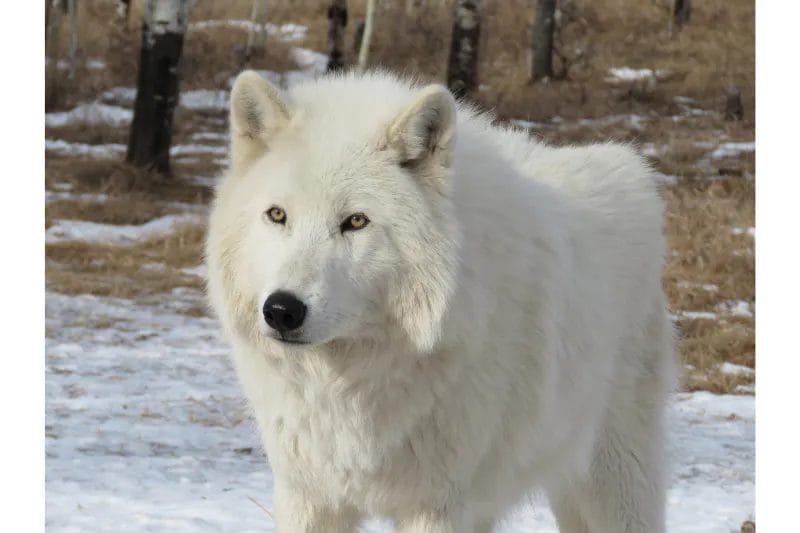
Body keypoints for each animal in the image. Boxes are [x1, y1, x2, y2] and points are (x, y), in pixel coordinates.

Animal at [205, 70, 676, 532]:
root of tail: (630, 167)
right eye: (277, 215)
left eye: (355, 221)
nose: (282, 310)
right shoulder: (308, 495)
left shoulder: (436, 506)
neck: (349, 384)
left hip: (615, 482)